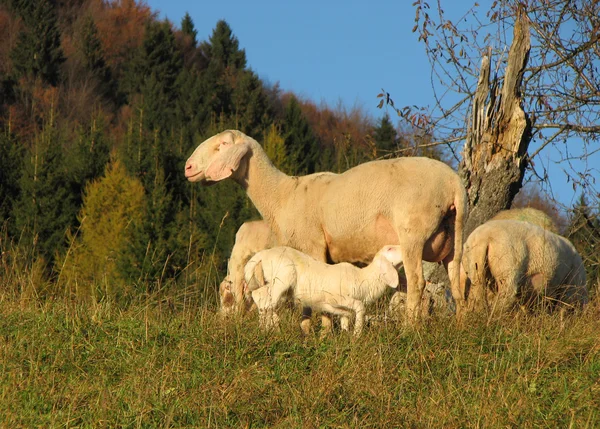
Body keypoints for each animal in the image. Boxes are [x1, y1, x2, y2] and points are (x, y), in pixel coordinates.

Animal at [185, 129, 466, 322]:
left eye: (222, 145)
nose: (187, 167)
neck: (282, 195)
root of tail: (453, 183)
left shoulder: (313, 246)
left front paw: (321, 332)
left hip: (413, 231)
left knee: (417, 283)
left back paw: (409, 328)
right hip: (454, 235)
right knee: (457, 281)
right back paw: (462, 325)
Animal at [243, 244, 404, 334]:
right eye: (390, 248)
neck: (363, 279)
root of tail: (261, 255)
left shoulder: (339, 309)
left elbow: (345, 320)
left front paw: (346, 335)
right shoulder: (335, 298)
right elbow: (360, 307)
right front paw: (357, 334)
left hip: (275, 286)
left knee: (263, 300)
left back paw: (272, 329)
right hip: (283, 278)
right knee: (264, 301)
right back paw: (266, 331)